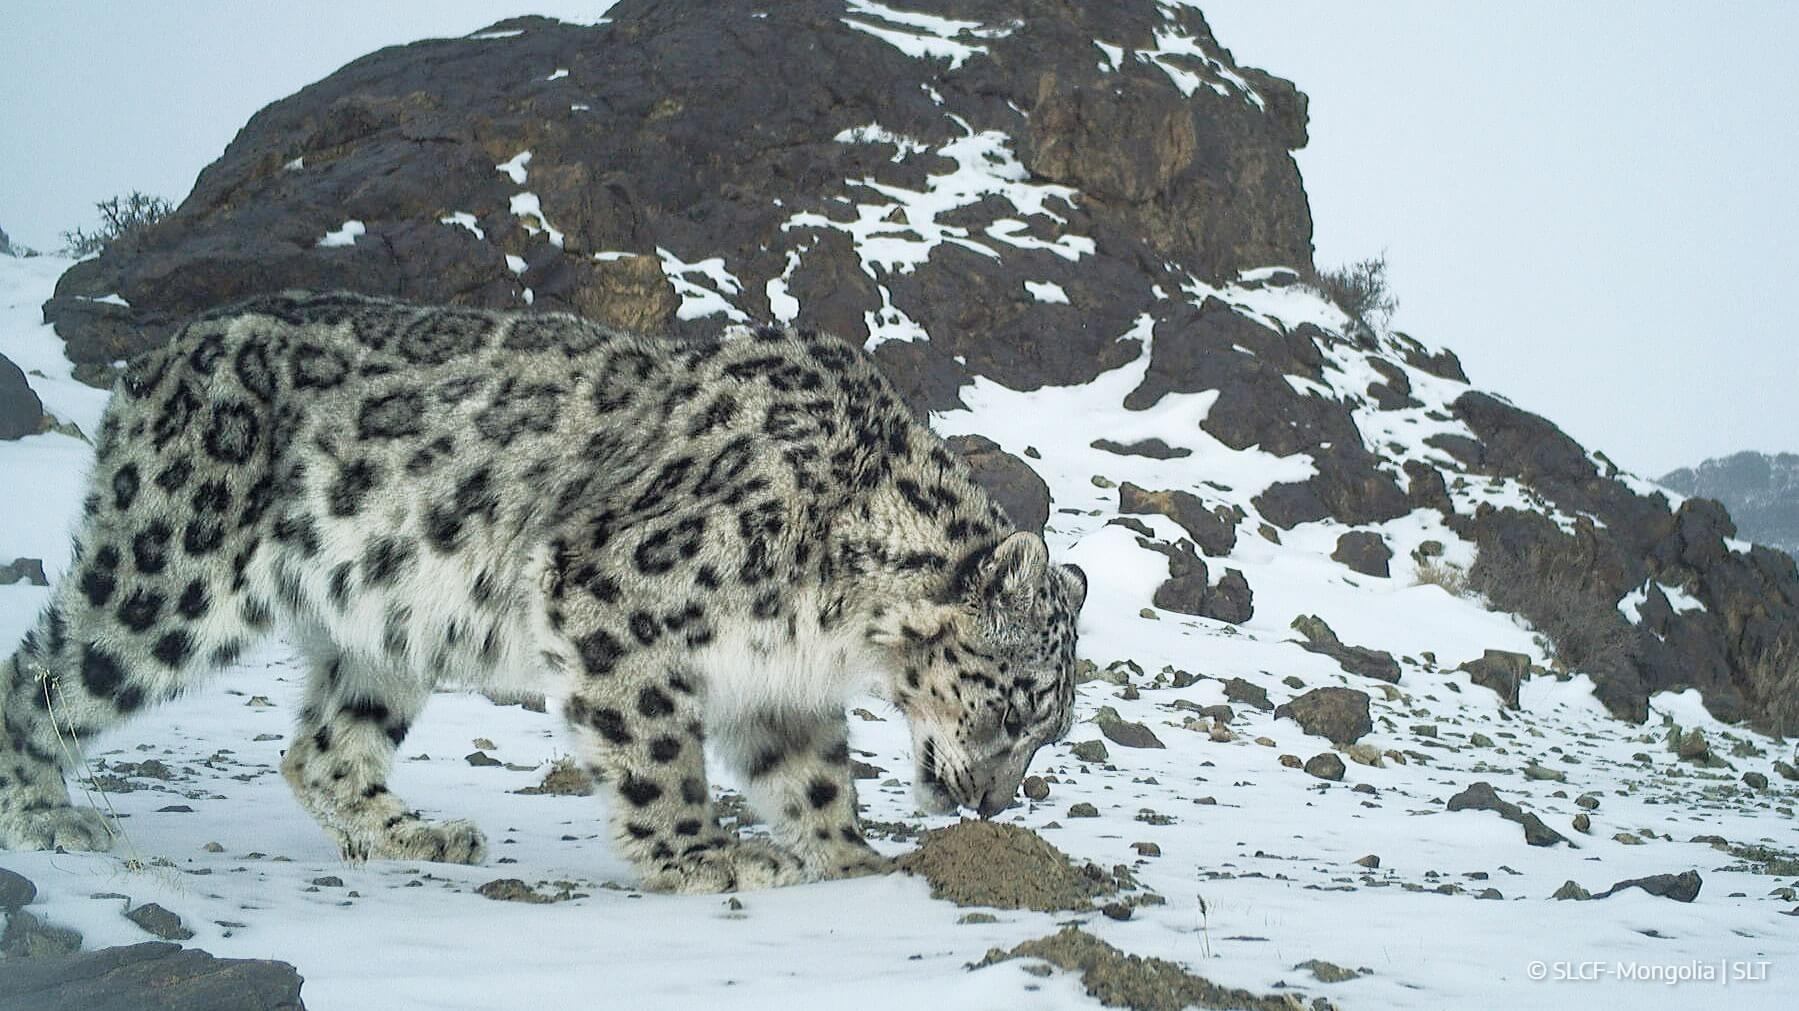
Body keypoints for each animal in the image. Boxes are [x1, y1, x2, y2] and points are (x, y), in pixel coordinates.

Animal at [0, 291, 1086, 893]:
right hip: (168, 570)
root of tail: (155, 355)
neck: (834, 627)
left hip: (385, 631)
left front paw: (855, 864)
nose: (989, 803)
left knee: (322, 747)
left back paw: (418, 835)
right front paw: (703, 858)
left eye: (1048, 728)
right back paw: (49, 815)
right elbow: (655, 753)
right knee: (48, 674)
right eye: (1016, 706)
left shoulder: (776, 679)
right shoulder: (618, 590)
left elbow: (812, 777)